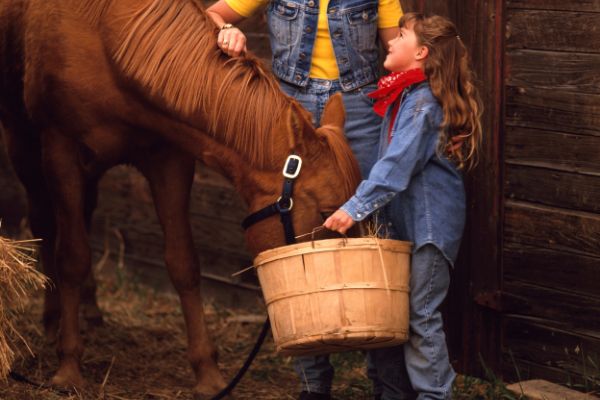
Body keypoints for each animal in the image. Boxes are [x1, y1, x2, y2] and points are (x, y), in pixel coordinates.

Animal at [0, 0, 358, 396]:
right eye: (326, 212)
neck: (108, 34)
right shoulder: (60, 149)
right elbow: (71, 258)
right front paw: (68, 367)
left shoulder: (170, 157)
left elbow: (183, 263)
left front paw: (207, 373)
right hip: (24, 143)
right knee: (46, 226)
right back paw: (53, 321)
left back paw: (89, 310)